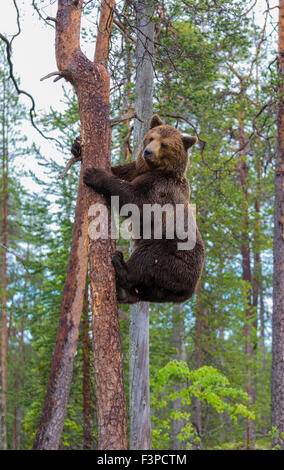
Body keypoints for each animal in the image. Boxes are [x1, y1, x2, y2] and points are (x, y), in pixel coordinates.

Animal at [73, 115, 205, 302]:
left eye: (164, 144)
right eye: (151, 138)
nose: (148, 152)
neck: (155, 169)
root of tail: (187, 292)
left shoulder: (161, 189)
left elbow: (135, 200)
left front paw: (94, 174)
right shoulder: (135, 170)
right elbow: (119, 171)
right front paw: (77, 145)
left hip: (173, 252)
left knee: (148, 258)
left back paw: (120, 263)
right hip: (161, 288)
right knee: (145, 288)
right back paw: (123, 291)